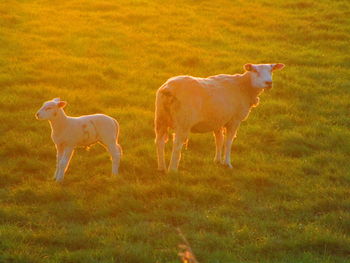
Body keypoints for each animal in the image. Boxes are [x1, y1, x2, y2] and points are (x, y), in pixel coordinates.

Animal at [155, 62, 284, 172]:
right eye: (255, 71)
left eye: (271, 70)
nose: (269, 83)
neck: (243, 87)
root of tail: (168, 89)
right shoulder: (234, 120)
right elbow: (228, 142)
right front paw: (227, 163)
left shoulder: (218, 119)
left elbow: (219, 140)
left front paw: (218, 161)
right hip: (183, 121)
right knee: (177, 144)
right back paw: (172, 170)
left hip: (161, 119)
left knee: (160, 142)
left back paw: (161, 167)